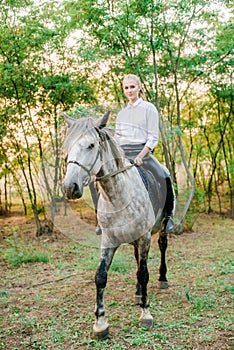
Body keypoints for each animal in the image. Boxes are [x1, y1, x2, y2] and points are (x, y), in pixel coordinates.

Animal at [63, 111, 173, 340]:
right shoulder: (109, 241)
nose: (69, 187)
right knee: (137, 259)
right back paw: (138, 292)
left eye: (91, 145)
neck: (118, 196)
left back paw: (162, 279)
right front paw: (100, 323)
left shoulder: (145, 237)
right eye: (68, 145)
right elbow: (100, 276)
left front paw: (146, 314)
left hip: (161, 228)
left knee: (162, 247)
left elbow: (144, 273)